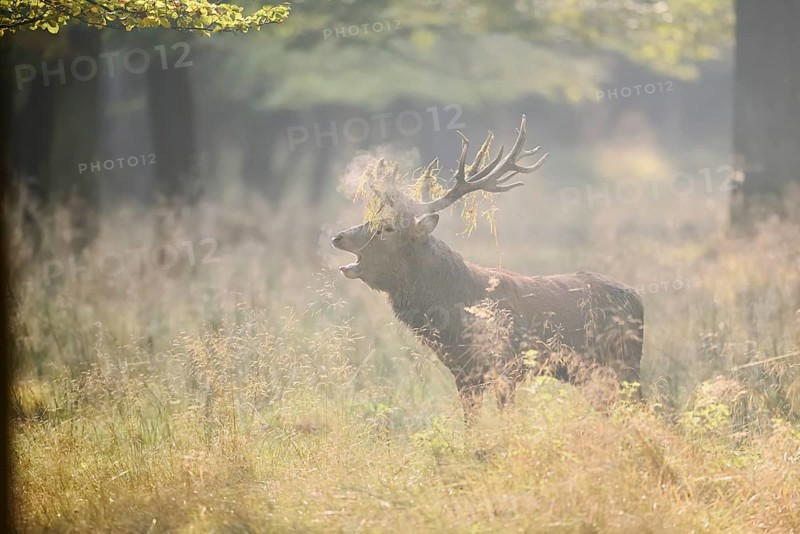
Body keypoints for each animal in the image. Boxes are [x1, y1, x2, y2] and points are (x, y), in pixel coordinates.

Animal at [331, 116, 644, 420]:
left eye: (387, 228)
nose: (338, 236)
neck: (455, 309)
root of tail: (638, 300)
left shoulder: (506, 366)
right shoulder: (463, 373)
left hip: (625, 362)